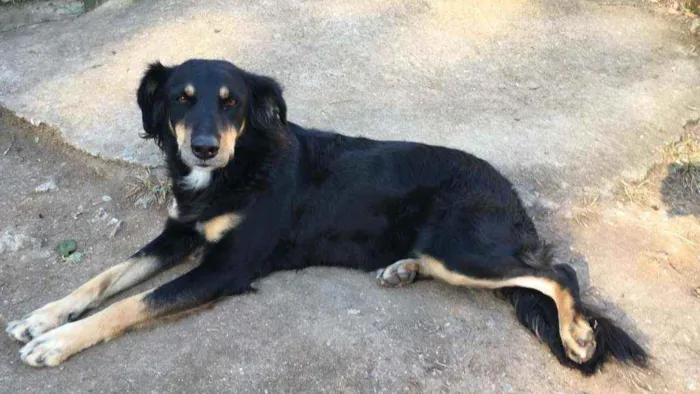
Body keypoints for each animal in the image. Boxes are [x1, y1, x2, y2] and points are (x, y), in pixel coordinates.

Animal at [6, 58, 652, 372]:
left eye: (231, 103)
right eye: (180, 100)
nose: (204, 148)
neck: (237, 169)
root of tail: (506, 187)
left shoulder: (226, 268)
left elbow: (132, 303)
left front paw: (58, 342)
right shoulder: (179, 233)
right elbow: (105, 277)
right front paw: (43, 317)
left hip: (464, 247)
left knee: (558, 273)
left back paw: (577, 336)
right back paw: (401, 268)